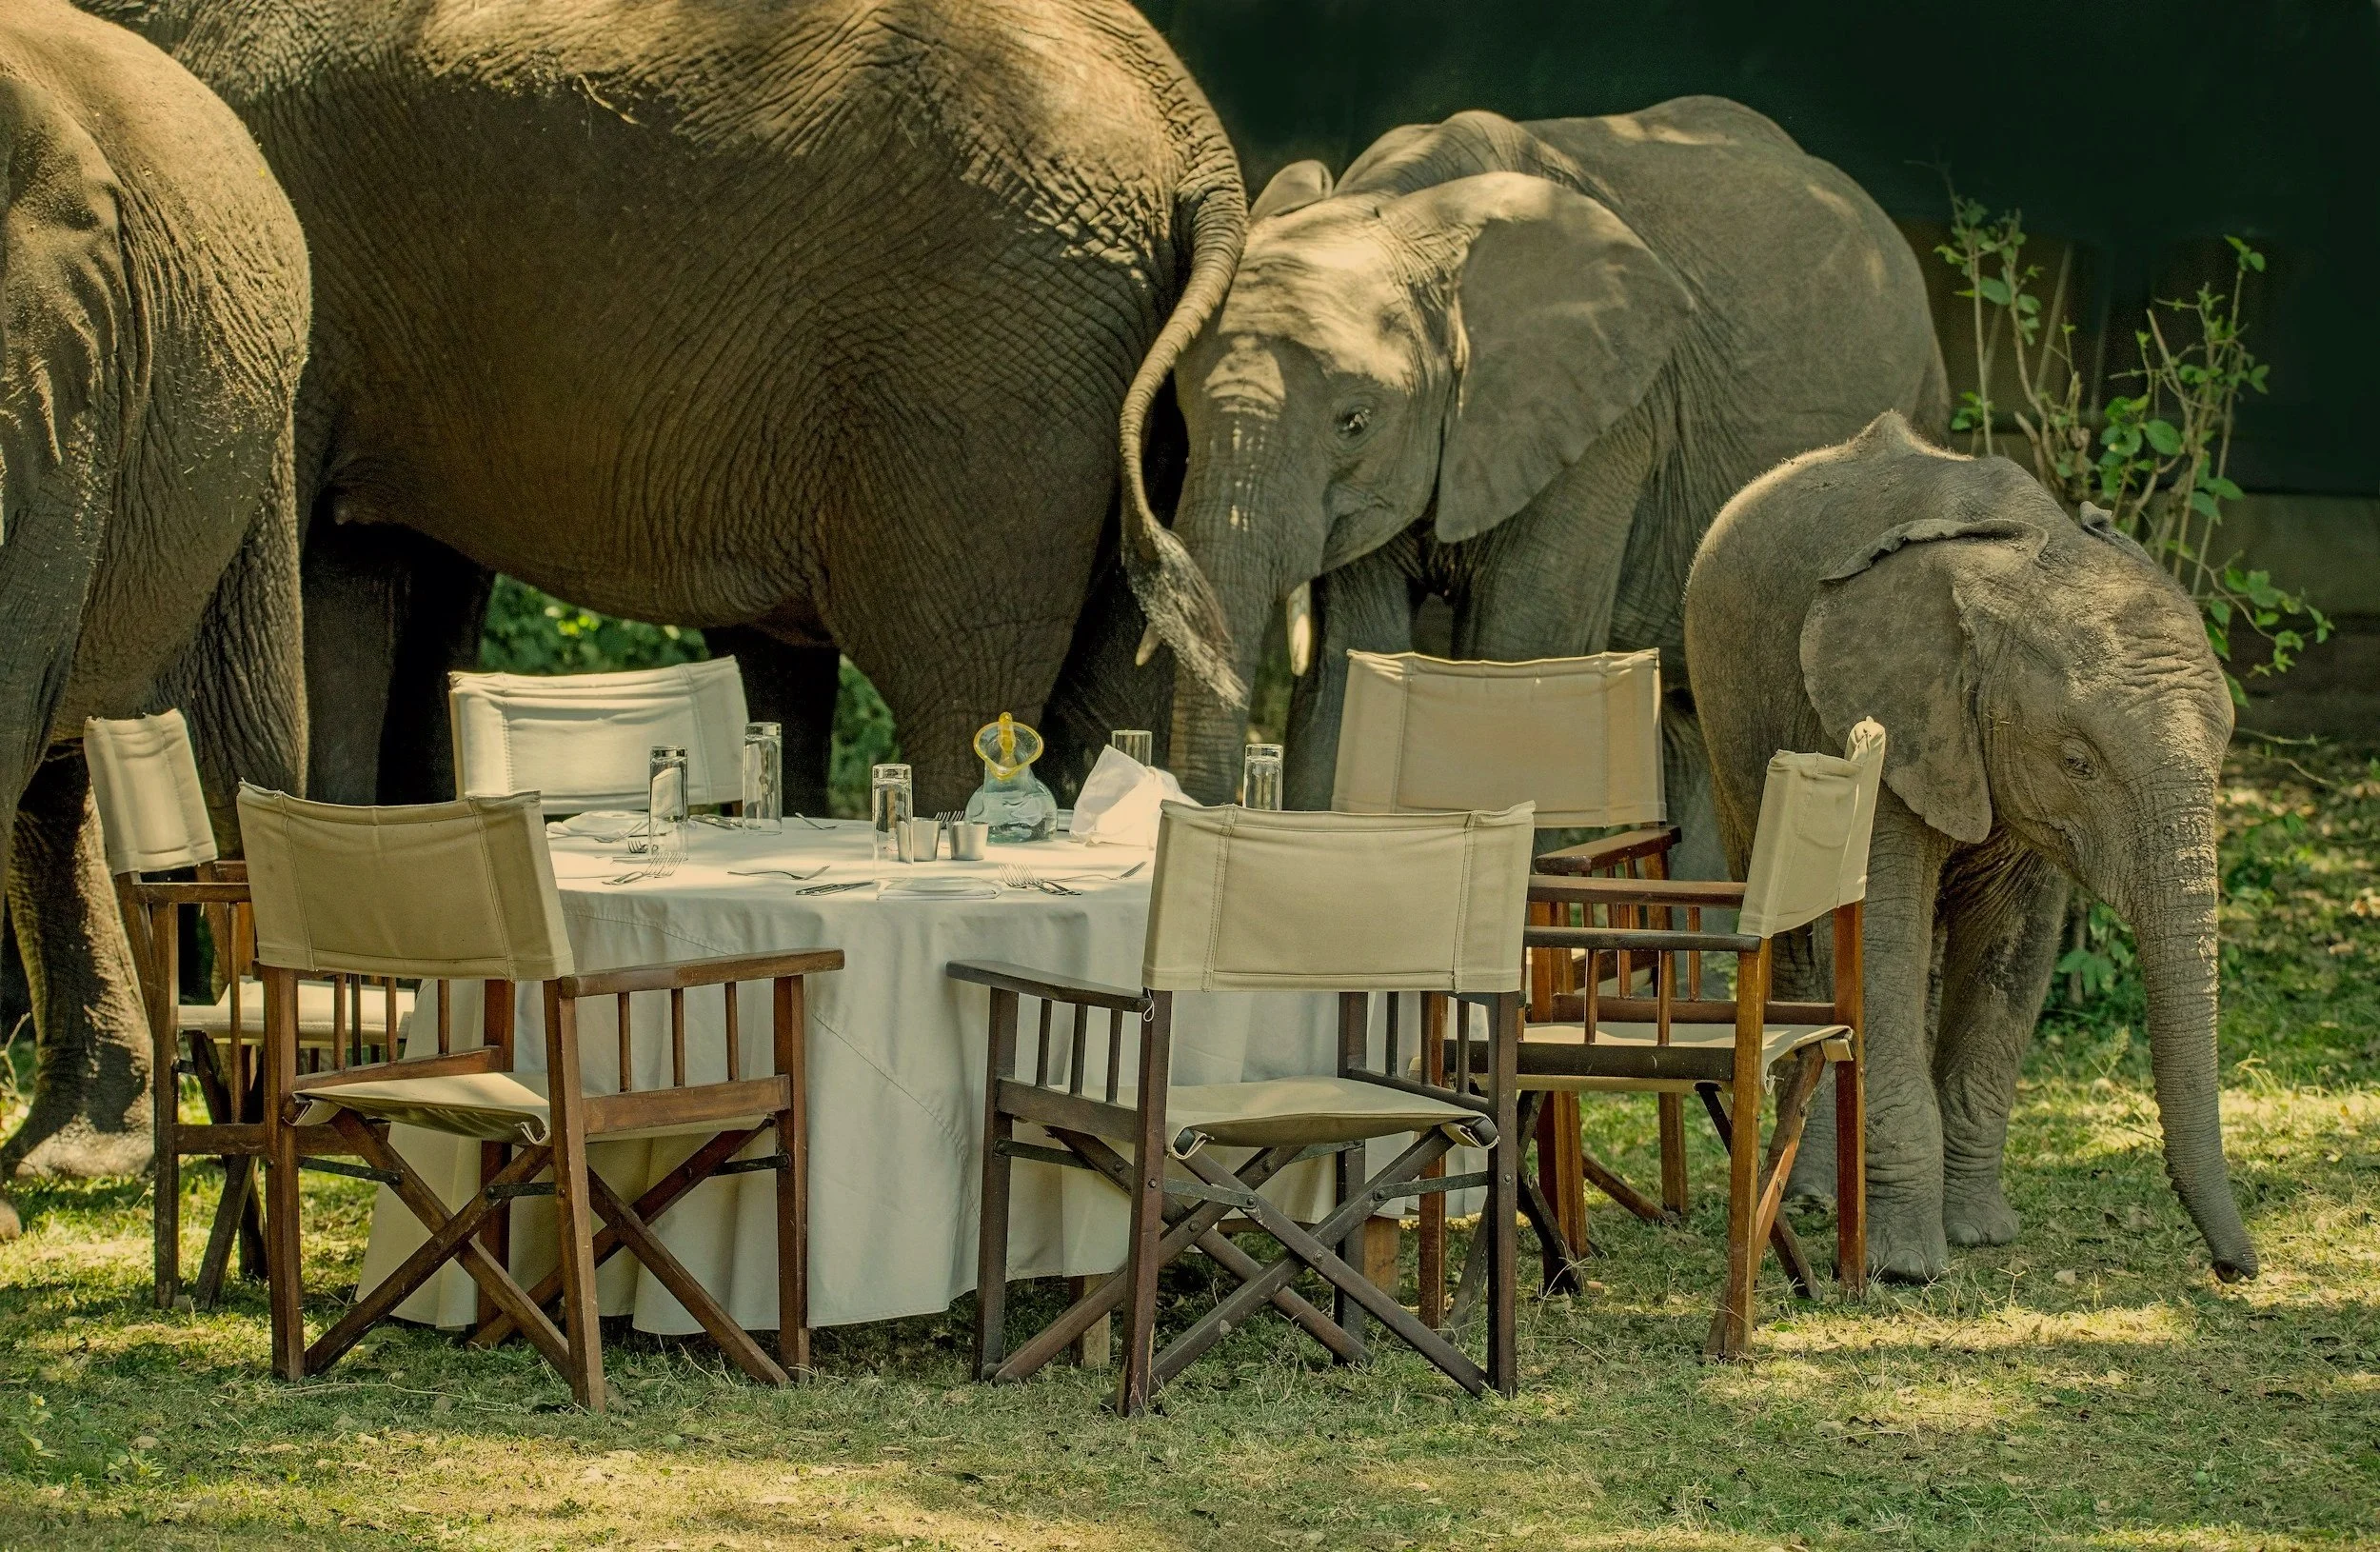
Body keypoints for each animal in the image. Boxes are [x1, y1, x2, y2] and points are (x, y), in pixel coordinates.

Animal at [1117, 100, 1947, 848]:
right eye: (1181, 416)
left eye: (1354, 420)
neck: (1409, 212)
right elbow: (1357, 665)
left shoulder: (1609, 424)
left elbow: (1519, 664)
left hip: (1918, 397)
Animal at [1683, 411, 2257, 1285]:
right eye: (2079, 761)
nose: (2235, 1268)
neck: (2024, 553)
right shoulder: (1887, 719)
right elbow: (1879, 940)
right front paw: (1909, 1267)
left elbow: (2013, 949)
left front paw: (1982, 1234)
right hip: (1727, 724)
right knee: (1797, 938)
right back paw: (1813, 1198)